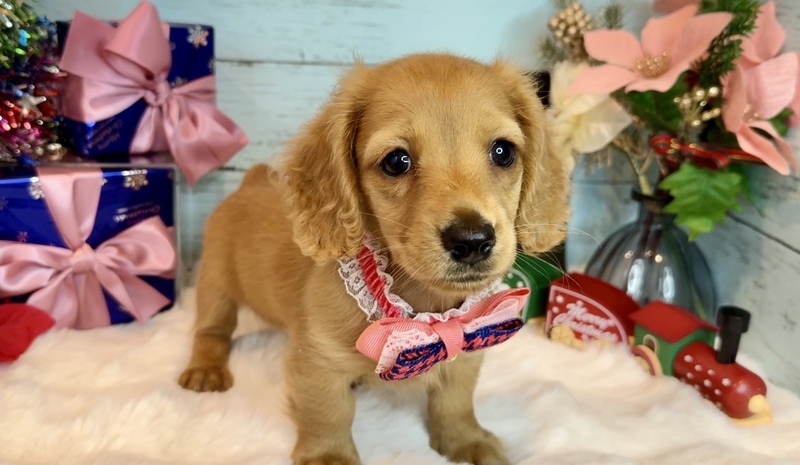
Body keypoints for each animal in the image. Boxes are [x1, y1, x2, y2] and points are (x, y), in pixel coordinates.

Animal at [178, 53, 571, 465]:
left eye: (503, 151)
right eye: (396, 161)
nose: (472, 240)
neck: (421, 310)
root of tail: (250, 180)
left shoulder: (465, 348)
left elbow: (455, 401)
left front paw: (466, 441)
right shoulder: (316, 362)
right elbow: (328, 413)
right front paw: (329, 457)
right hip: (215, 284)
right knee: (210, 330)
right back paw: (205, 369)